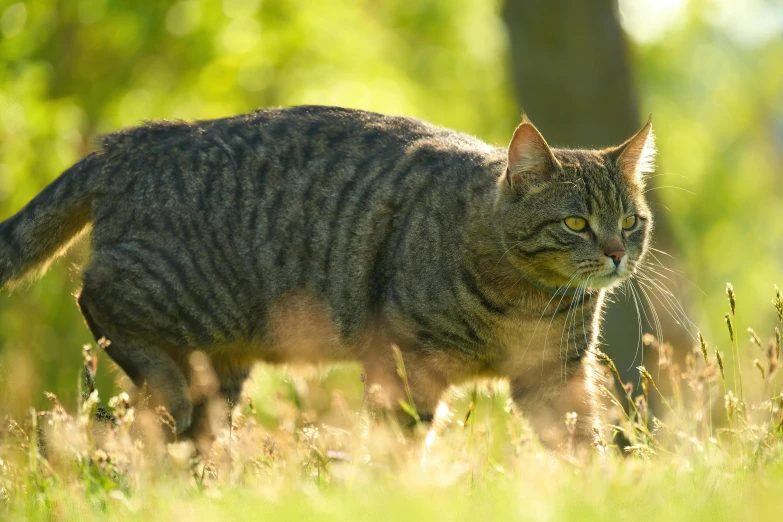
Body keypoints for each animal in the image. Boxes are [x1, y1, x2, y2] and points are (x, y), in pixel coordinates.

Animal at [0, 105, 656, 446]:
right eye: (575, 223)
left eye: (630, 220)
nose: (617, 253)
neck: (525, 298)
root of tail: (126, 141)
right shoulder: (405, 362)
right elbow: (400, 444)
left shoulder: (556, 376)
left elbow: (582, 445)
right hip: (174, 293)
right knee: (95, 297)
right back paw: (165, 386)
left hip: (220, 362)